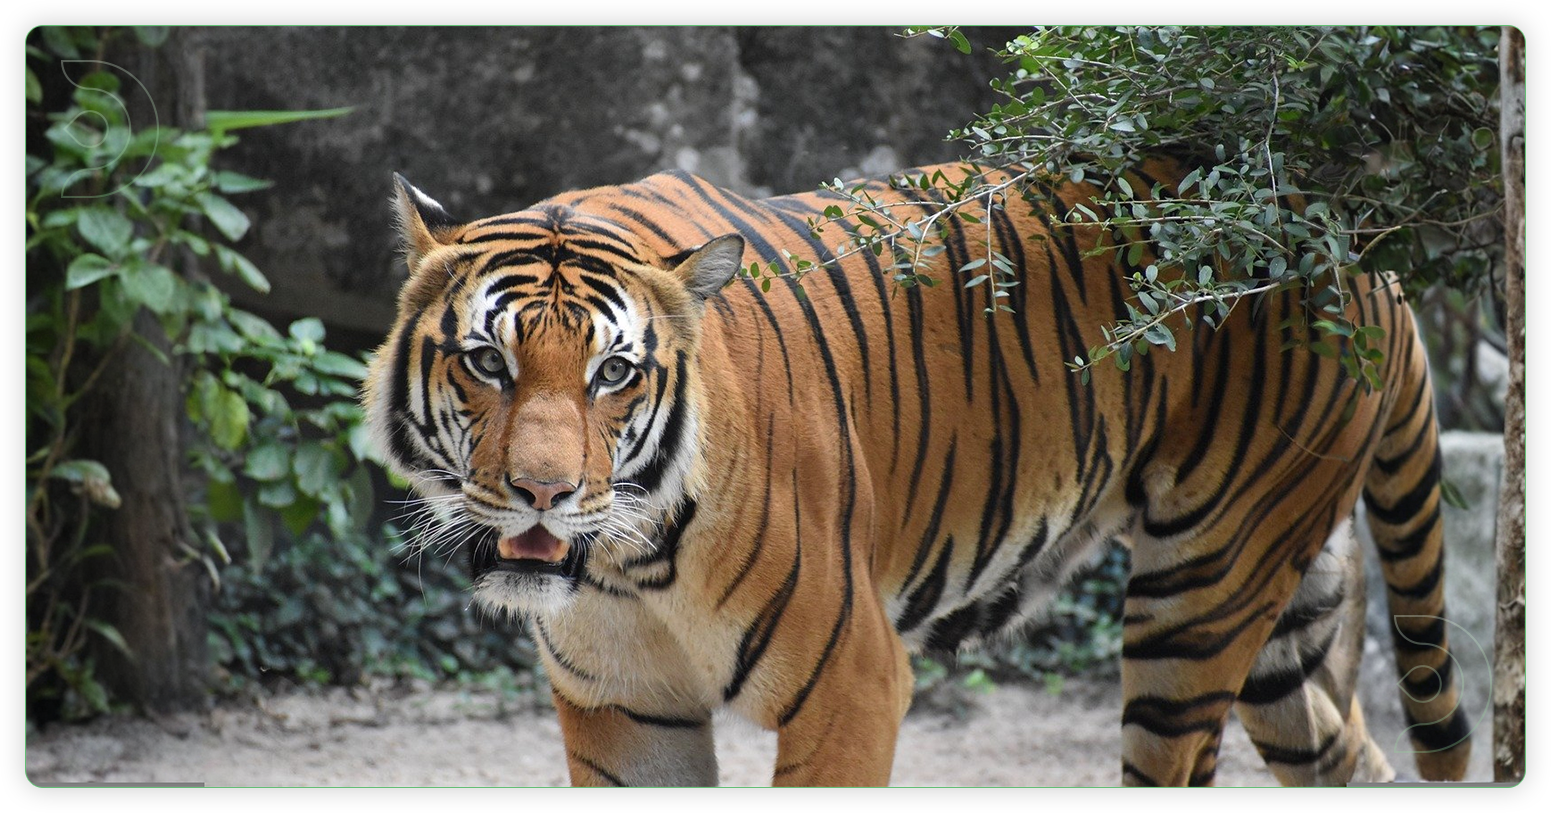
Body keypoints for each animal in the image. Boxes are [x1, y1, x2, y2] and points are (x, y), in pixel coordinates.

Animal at [361, 156, 1471, 786]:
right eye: (488, 362)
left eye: (614, 374)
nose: (543, 493)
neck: (626, 568)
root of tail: (1353, 237)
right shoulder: (625, 707)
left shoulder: (851, 683)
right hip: (1284, 612)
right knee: (1343, 750)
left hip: (1201, 596)